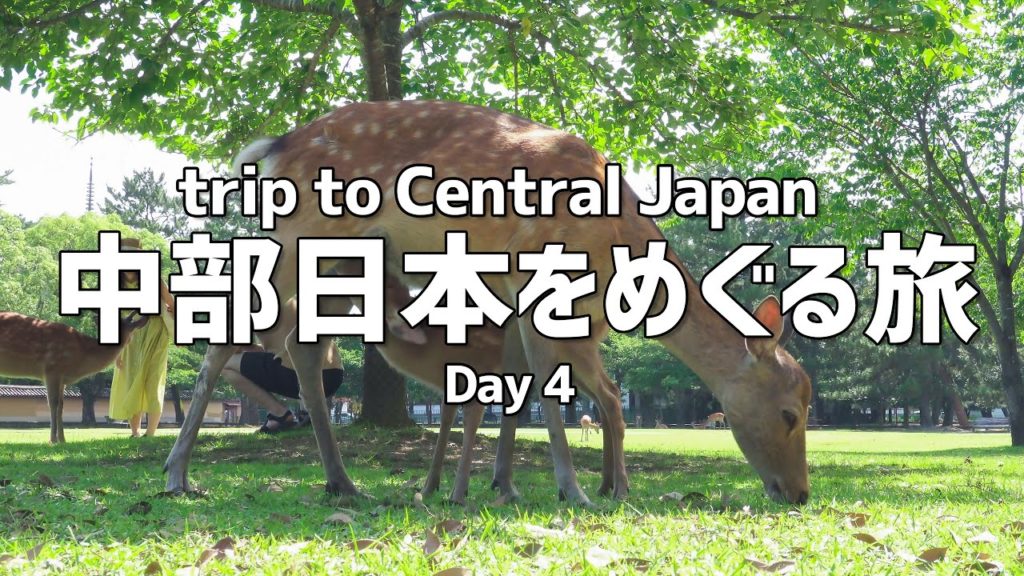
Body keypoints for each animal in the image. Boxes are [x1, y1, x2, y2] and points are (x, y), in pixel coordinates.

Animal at [0, 311, 148, 443]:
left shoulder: (62, 378)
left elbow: (61, 406)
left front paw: (62, 439)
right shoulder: (52, 368)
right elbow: (53, 403)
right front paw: (52, 440)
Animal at [164, 99, 812, 505]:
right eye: (789, 413)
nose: (800, 493)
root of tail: (272, 149)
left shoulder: (516, 295)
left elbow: (520, 386)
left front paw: (506, 485)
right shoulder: (539, 272)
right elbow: (552, 389)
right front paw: (576, 490)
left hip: (344, 262)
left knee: (302, 347)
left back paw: (343, 483)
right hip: (302, 235)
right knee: (231, 331)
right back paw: (176, 475)